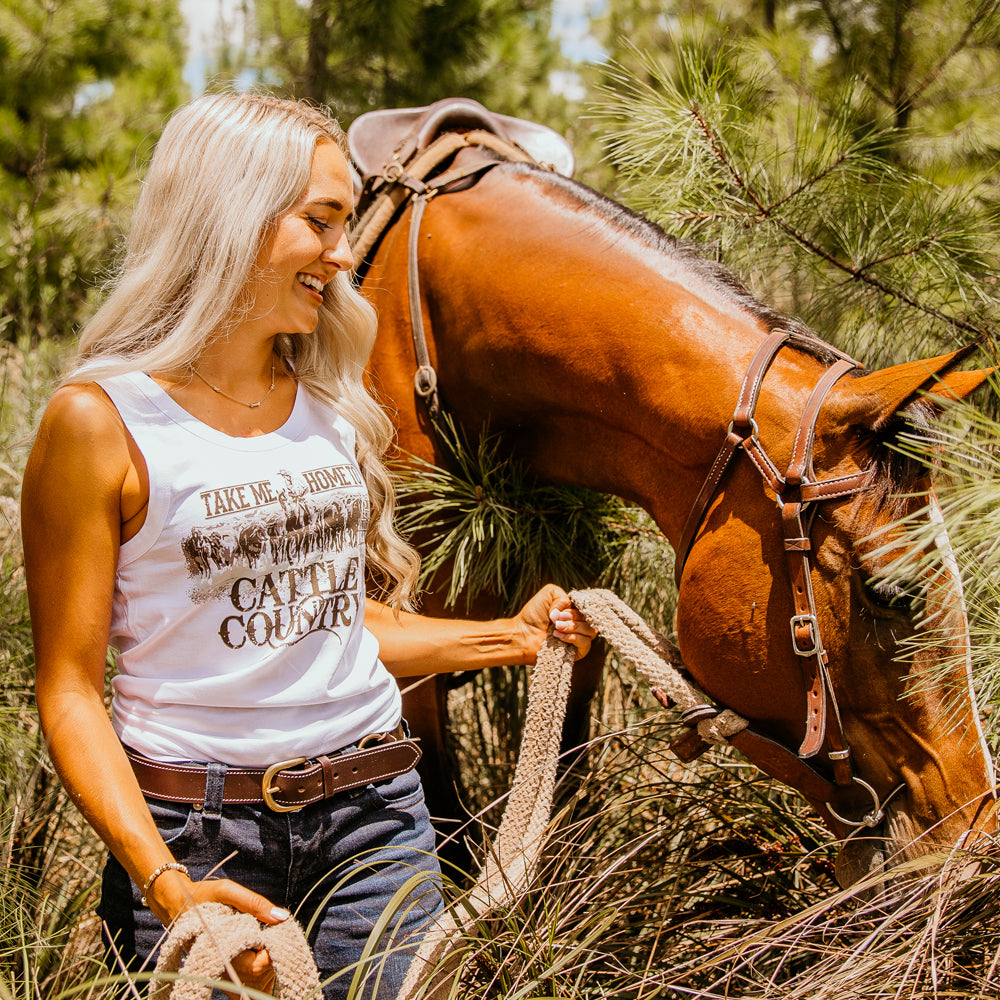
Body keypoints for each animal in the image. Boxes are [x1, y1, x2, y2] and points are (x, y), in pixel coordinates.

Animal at [348, 101, 996, 884]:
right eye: (890, 594)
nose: (976, 838)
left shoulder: (575, 628)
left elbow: (564, 799)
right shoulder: (404, 664)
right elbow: (439, 829)